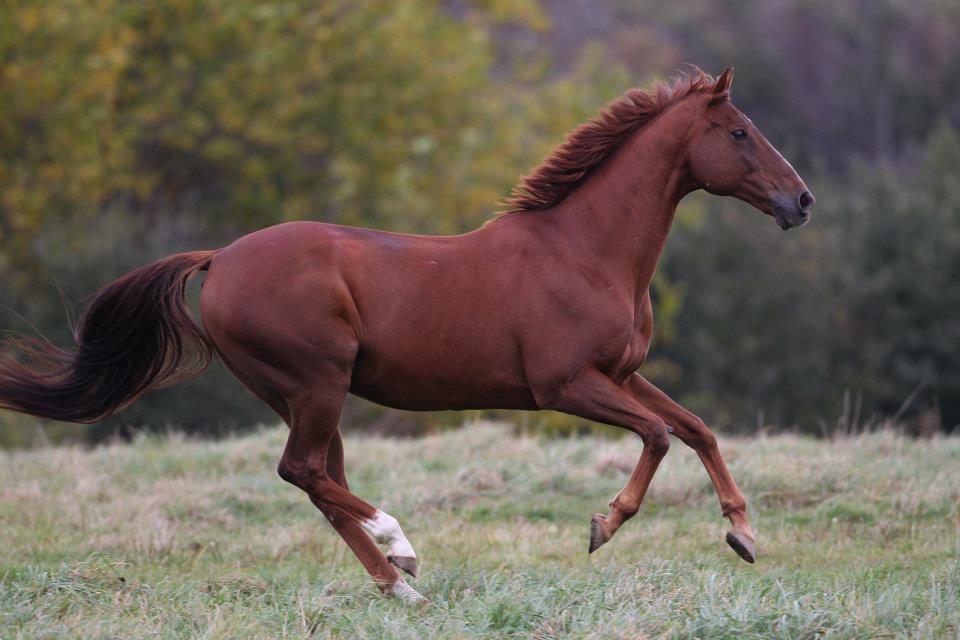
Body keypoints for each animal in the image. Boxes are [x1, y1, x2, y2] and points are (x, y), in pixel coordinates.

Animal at [0, 67, 813, 603]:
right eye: (739, 133)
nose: (800, 201)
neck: (584, 250)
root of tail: (220, 258)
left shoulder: (619, 372)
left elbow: (697, 428)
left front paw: (742, 535)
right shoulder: (566, 385)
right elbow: (658, 437)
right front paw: (602, 526)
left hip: (300, 394)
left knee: (318, 481)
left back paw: (402, 587)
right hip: (317, 383)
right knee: (304, 472)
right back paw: (402, 547)